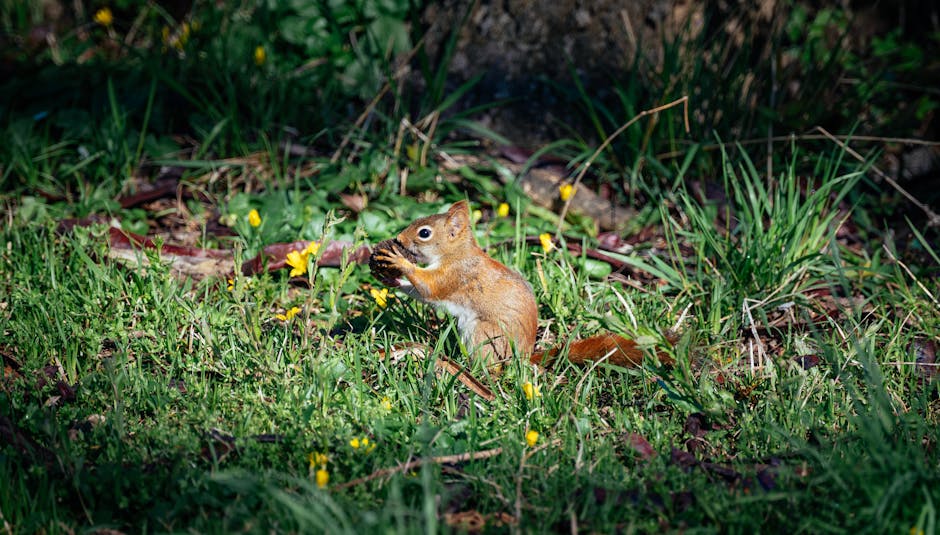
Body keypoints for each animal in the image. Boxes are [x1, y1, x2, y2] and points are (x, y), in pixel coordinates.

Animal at [370, 201, 672, 372]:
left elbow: (430, 289)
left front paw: (398, 262)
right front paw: (391, 278)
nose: (398, 239)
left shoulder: (456, 275)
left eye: (424, 233)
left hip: (484, 334)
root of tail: (525, 358)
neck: (455, 253)